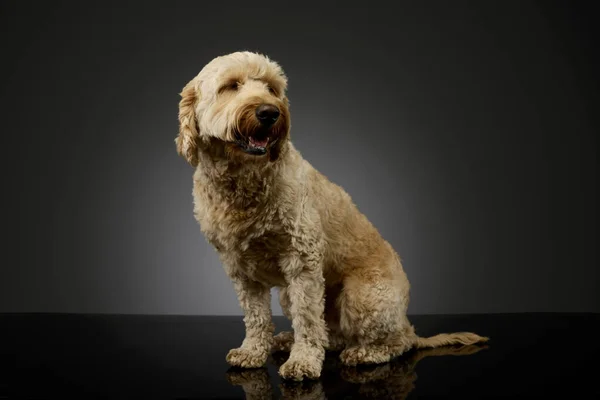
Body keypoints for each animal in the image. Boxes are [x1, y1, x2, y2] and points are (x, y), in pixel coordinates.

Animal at [175, 50, 488, 382]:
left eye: (272, 88)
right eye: (231, 86)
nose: (270, 112)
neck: (244, 180)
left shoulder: (303, 260)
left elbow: (309, 320)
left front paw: (303, 362)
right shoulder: (240, 268)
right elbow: (256, 316)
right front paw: (252, 352)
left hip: (363, 296)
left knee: (397, 341)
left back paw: (366, 353)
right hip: (291, 295)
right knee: (333, 334)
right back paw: (287, 340)